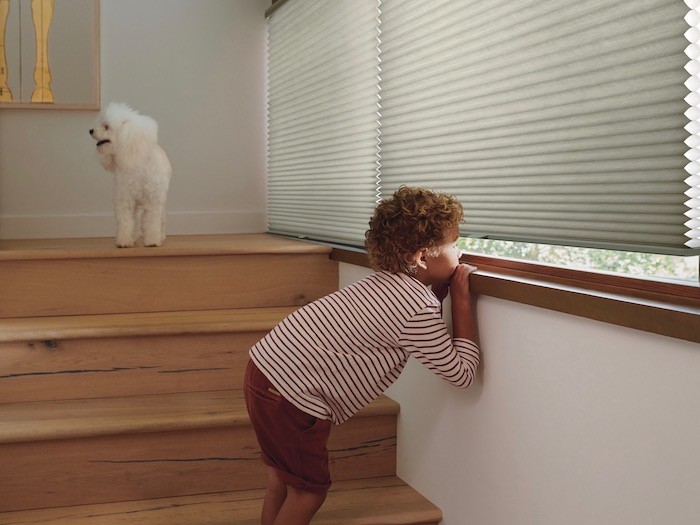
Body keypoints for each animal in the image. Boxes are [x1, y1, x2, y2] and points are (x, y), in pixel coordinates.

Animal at [90, 104, 172, 248]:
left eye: (107, 127)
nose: (91, 130)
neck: (135, 159)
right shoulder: (125, 198)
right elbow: (126, 221)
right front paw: (124, 241)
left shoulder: (153, 200)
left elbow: (152, 222)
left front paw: (152, 241)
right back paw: (134, 237)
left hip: (160, 198)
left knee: (161, 218)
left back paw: (161, 236)